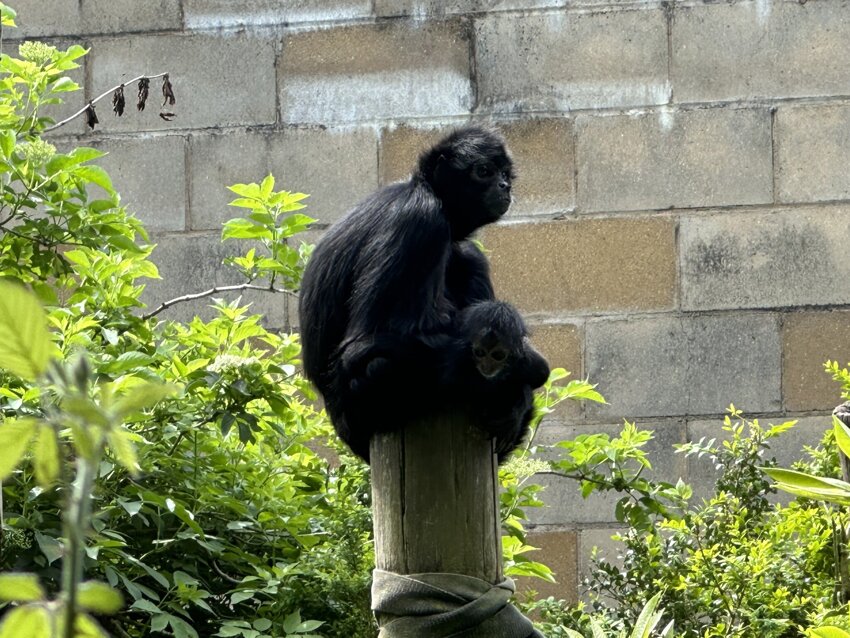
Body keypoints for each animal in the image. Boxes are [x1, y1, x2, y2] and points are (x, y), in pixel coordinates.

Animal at [298, 126, 548, 464]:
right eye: (484, 171)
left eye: (506, 174)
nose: (504, 185)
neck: (421, 189)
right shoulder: (420, 221)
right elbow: (359, 347)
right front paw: (522, 368)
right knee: (379, 364)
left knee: (466, 255)